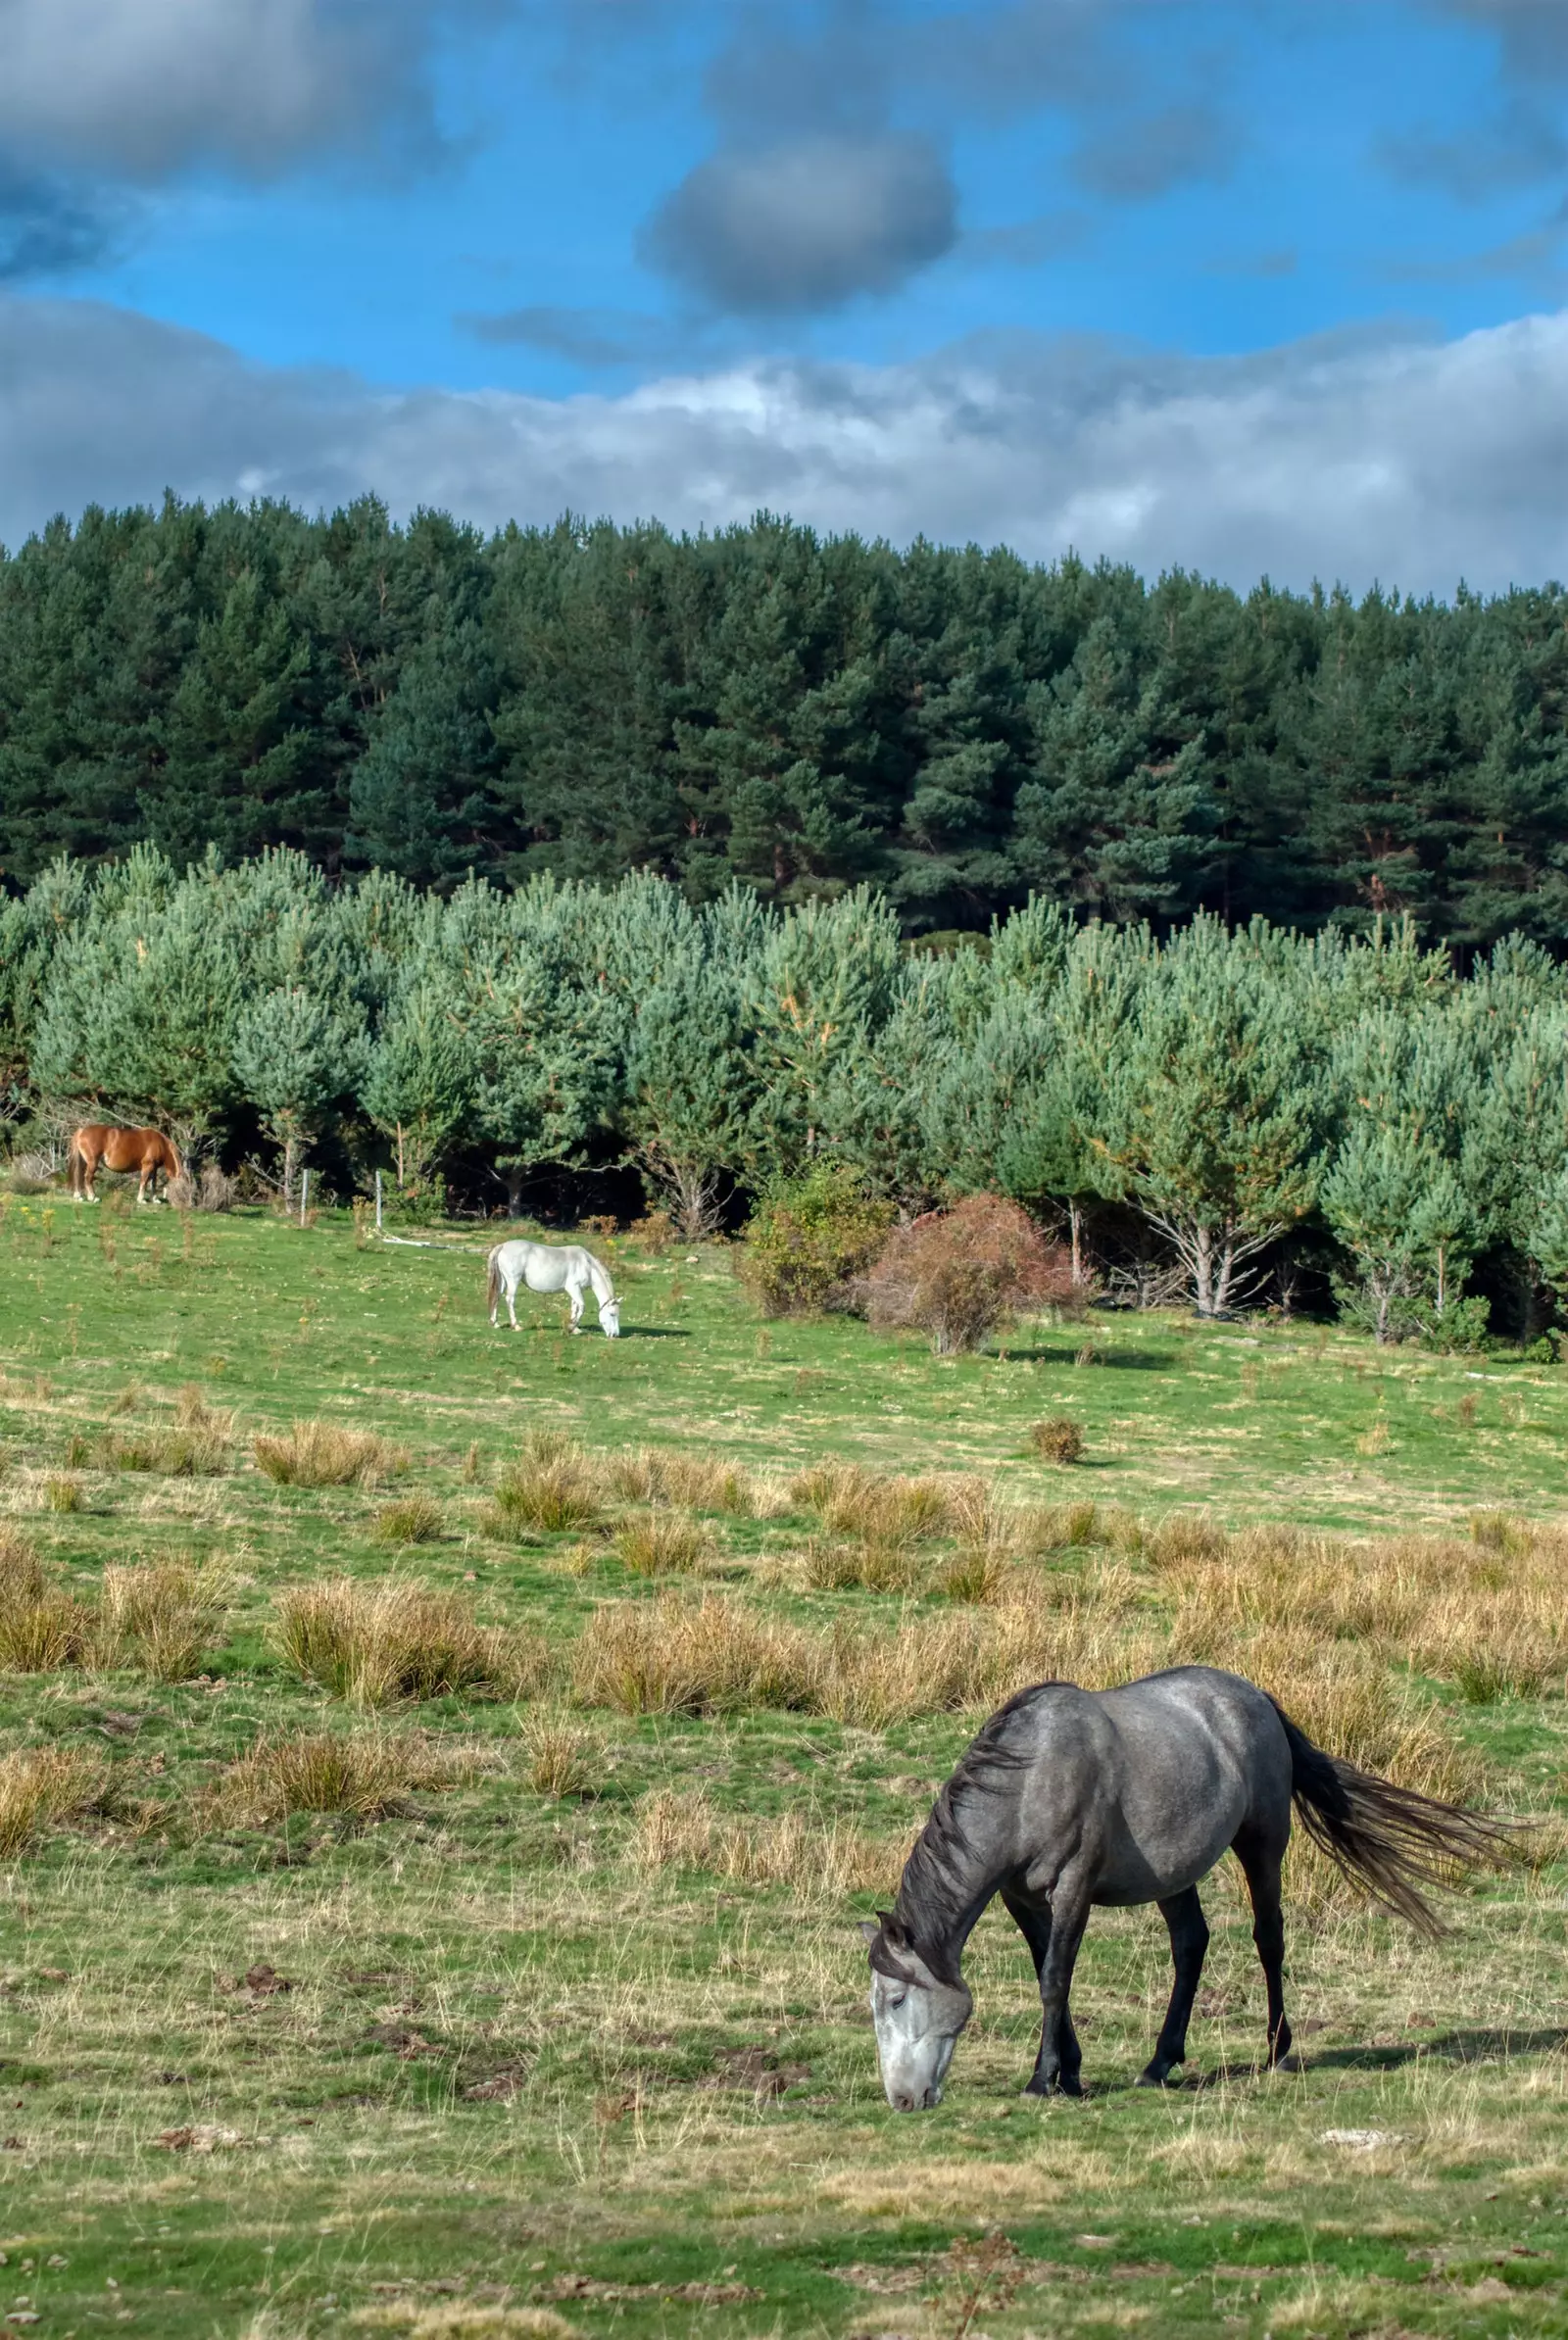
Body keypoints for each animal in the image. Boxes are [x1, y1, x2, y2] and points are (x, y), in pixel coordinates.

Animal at [489, 1244, 622, 1338]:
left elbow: (574, 1308)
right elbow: (582, 1307)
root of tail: (503, 1245)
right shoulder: (573, 1288)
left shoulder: (576, 1290)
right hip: (513, 1281)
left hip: (503, 1281)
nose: (615, 1335)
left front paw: (574, 1328)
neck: (587, 1265)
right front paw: (571, 1328)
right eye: (612, 1314)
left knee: (496, 1297)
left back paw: (495, 1323)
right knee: (510, 1300)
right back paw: (516, 1326)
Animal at [865, 1666, 1516, 2106]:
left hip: (1263, 1846)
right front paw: (1069, 2073)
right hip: (1173, 1875)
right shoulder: (1021, 1897)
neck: (1031, 1777)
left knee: (1269, 1938)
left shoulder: (1073, 1887)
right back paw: (1160, 2063)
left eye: (895, 1999)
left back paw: (1279, 2051)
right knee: (1191, 1945)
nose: (902, 2100)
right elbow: (1050, 1975)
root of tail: (1257, 1698)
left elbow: (1054, 1979)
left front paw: (1041, 2080)